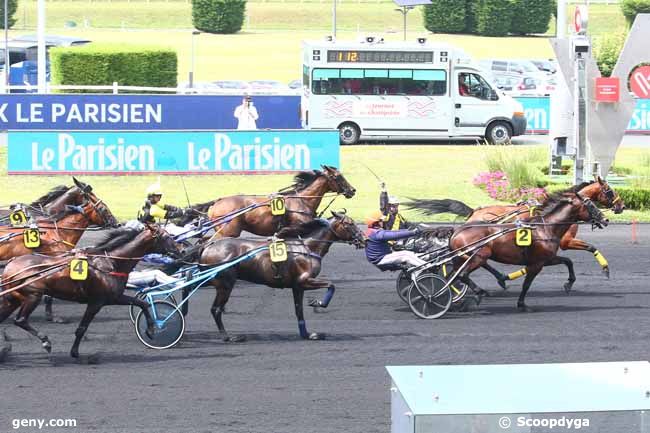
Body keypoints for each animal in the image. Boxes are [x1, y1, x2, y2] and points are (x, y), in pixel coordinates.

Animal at [0, 223, 180, 358]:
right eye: (167, 236)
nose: (181, 250)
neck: (111, 262)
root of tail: (10, 265)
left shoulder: (114, 297)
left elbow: (142, 303)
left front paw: (150, 330)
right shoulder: (98, 301)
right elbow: (81, 328)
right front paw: (74, 352)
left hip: (13, 298)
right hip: (33, 295)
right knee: (20, 320)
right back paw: (45, 341)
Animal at [195, 211, 368, 342]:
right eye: (349, 224)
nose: (364, 239)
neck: (307, 248)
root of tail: (208, 246)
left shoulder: (297, 286)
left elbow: (299, 311)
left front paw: (307, 334)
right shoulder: (304, 281)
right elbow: (331, 285)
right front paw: (318, 303)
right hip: (225, 285)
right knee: (216, 310)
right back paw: (228, 337)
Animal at [404, 176, 624, 290]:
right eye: (610, 191)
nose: (621, 206)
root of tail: (474, 212)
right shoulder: (565, 241)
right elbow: (590, 247)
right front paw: (605, 269)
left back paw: (501, 278)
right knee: (478, 262)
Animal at [446, 186, 608, 310]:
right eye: (591, 205)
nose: (605, 220)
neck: (545, 228)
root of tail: (457, 232)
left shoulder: (546, 259)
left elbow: (568, 261)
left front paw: (569, 283)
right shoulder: (537, 264)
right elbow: (526, 285)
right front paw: (522, 304)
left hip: (463, 258)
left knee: (454, 276)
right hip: (480, 255)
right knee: (463, 275)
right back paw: (480, 292)